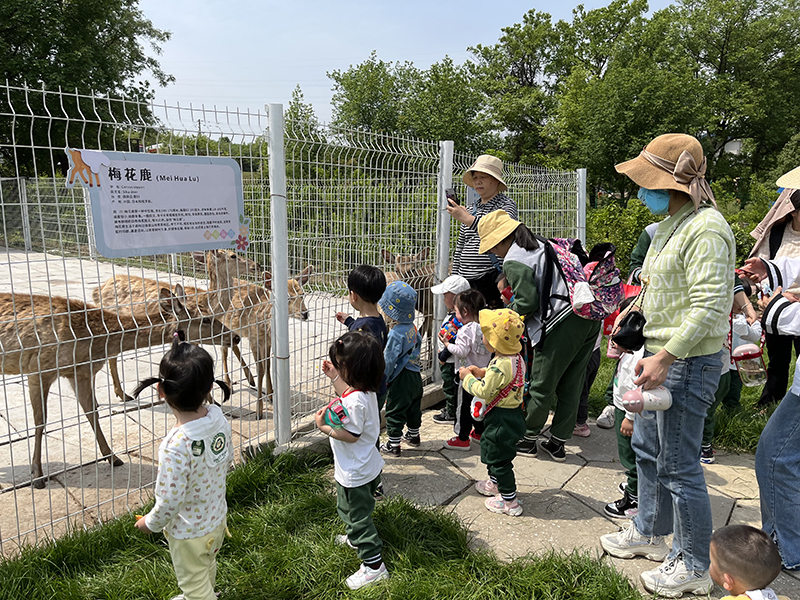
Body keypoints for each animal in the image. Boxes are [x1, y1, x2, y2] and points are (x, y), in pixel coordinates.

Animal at [0, 288, 194, 488]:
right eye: (200, 320)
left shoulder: (81, 372)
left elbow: (92, 411)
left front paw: (113, 457)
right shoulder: (38, 369)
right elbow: (40, 421)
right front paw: (37, 475)